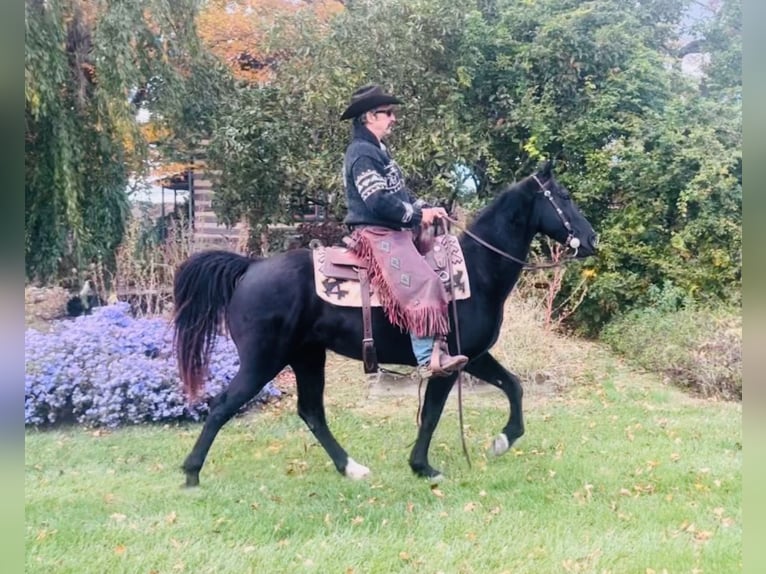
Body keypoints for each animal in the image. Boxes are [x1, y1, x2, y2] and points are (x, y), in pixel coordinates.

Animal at [173, 161, 598, 486]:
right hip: (263, 361)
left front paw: (502, 441)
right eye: (564, 197)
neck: (477, 271)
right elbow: (431, 414)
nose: (592, 239)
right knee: (223, 406)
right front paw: (423, 467)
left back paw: (351, 468)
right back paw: (191, 474)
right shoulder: (448, 364)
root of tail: (250, 268)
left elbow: (514, 386)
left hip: (307, 357)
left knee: (311, 412)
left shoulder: (474, 356)